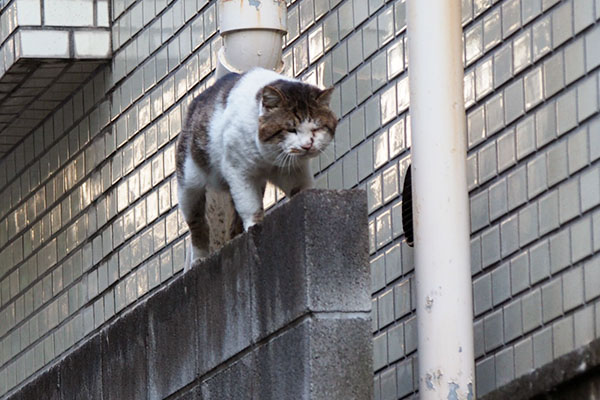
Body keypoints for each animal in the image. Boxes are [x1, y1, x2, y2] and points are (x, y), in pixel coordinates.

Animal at [176, 68, 340, 268]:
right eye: (291, 129)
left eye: (316, 129)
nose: (307, 145)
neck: (270, 159)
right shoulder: (239, 172)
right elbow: (250, 207)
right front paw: (253, 227)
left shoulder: (293, 172)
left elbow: (301, 189)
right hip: (189, 184)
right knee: (197, 224)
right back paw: (198, 258)